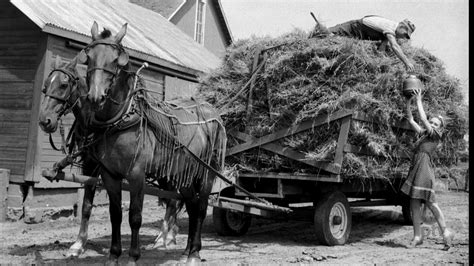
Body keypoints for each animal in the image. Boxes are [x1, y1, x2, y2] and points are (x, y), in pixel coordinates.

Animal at [37, 54, 185, 260]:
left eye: (64, 85)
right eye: (45, 86)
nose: (45, 121)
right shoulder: (90, 164)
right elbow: (86, 206)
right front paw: (78, 244)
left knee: (173, 199)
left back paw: (165, 237)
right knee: (173, 198)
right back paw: (170, 234)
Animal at [76, 22, 228, 264]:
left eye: (115, 60)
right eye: (89, 57)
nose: (95, 97)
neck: (121, 119)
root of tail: (213, 113)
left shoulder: (136, 174)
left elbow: (135, 217)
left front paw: (133, 256)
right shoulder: (110, 175)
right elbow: (115, 215)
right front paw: (114, 255)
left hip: (206, 172)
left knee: (202, 208)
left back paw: (195, 253)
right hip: (183, 173)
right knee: (192, 207)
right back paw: (187, 250)